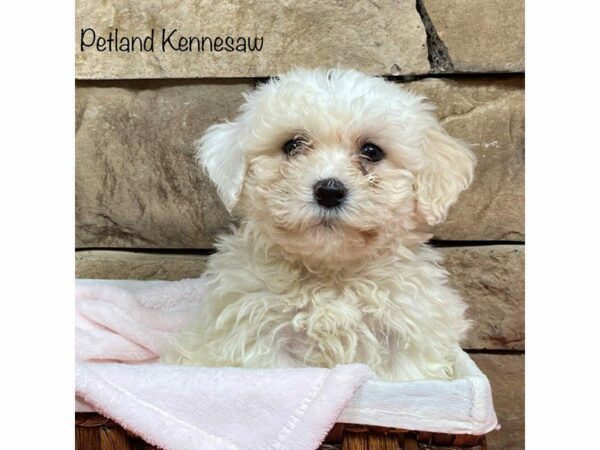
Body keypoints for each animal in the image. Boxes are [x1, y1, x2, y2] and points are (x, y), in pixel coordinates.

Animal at [171, 68, 476, 382]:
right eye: (292, 145)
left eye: (372, 151)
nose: (329, 191)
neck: (331, 274)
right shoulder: (259, 337)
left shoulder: (408, 332)